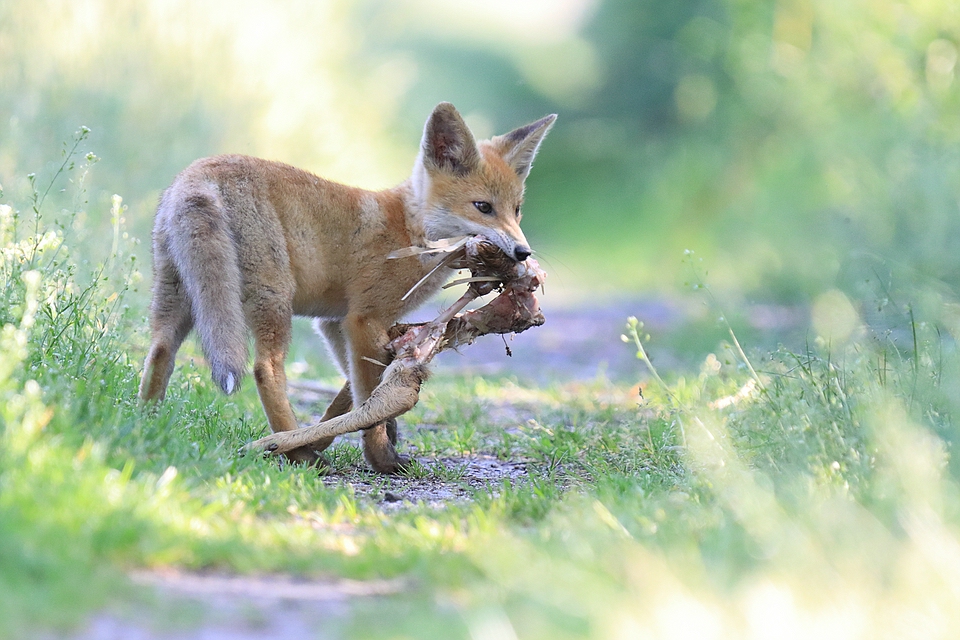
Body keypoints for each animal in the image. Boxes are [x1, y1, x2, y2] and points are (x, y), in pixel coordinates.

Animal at [136, 100, 556, 470]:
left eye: (516, 210)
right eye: (483, 207)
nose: (522, 252)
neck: (411, 230)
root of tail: (200, 173)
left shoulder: (336, 323)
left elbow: (356, 387)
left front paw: (379, 436)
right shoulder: (363, 319)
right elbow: (369, 399)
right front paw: (381, 458)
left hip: (180, 298)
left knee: (159, 351)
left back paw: (148, 426)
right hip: (274, 299)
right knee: (265, 368)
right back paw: (297, 454)